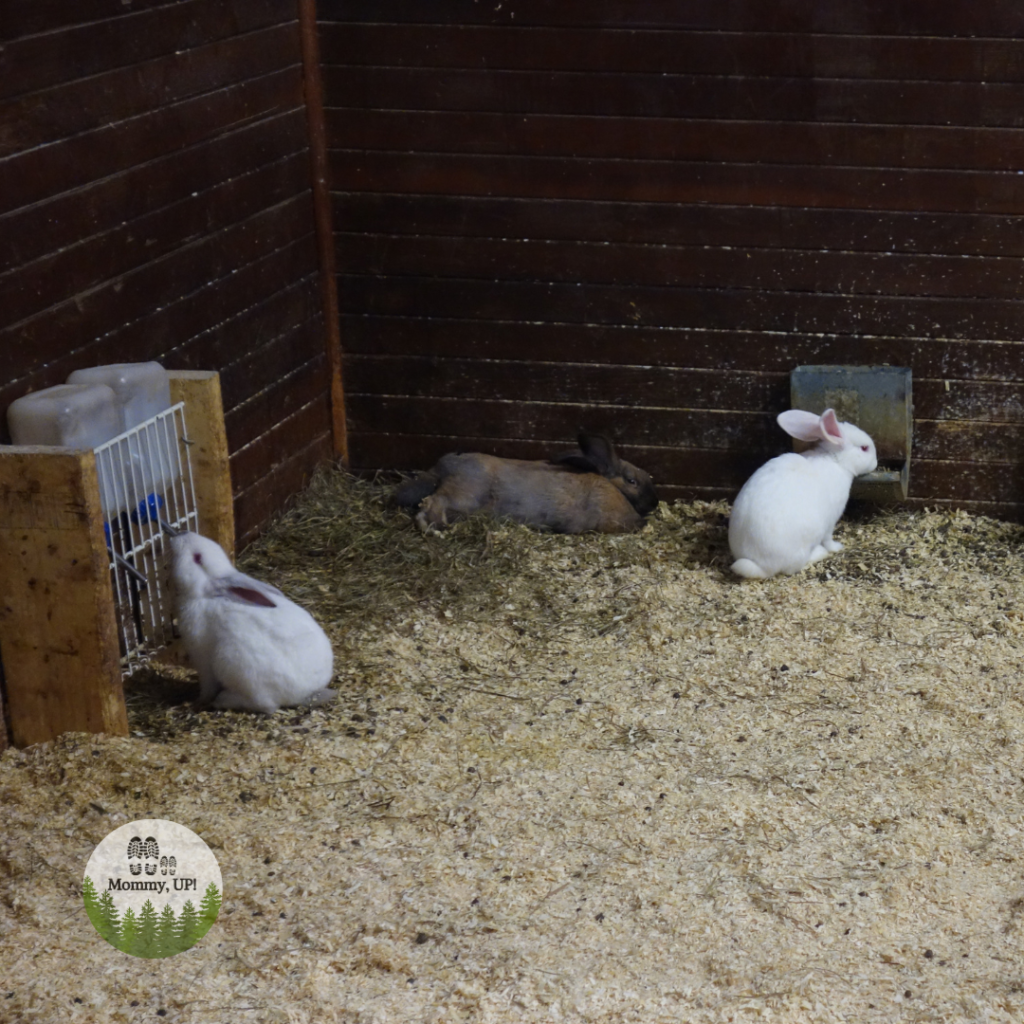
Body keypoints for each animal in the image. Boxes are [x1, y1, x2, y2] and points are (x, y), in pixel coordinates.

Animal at [169, 536, 333, 712]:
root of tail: (306, 693)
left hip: (233, 662)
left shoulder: (203, 660)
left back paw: (223, 700)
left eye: (197, 558)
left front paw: (198, 701)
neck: (206, 597)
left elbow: (207, 687)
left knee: (266, 705)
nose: (177, 536)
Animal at [391, 430, 655, 532]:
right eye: (632, 481)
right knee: (432, 503)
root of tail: (442, 467)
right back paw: (436, 528)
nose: (654, 502)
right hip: (465, 495)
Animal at [724, 409, 876, 585]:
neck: (835, 459)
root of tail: (761, 565)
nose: (876, 463)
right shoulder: (831, 520)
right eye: (864, 448)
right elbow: (828, 539)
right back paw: (819, 553)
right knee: (795, 566)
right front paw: (837, 547)